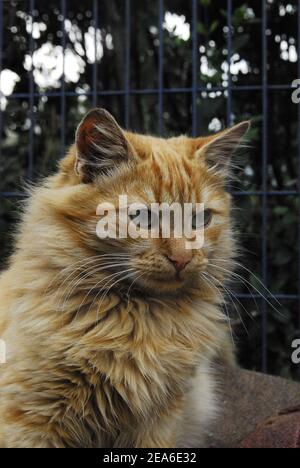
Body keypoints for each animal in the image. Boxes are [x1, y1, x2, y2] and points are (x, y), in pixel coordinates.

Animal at [0, 108, 250, 448]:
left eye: (201, 219)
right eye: (142, 217)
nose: (183, 257)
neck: (136, 318)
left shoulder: (160, 420)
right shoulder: (29, 418)